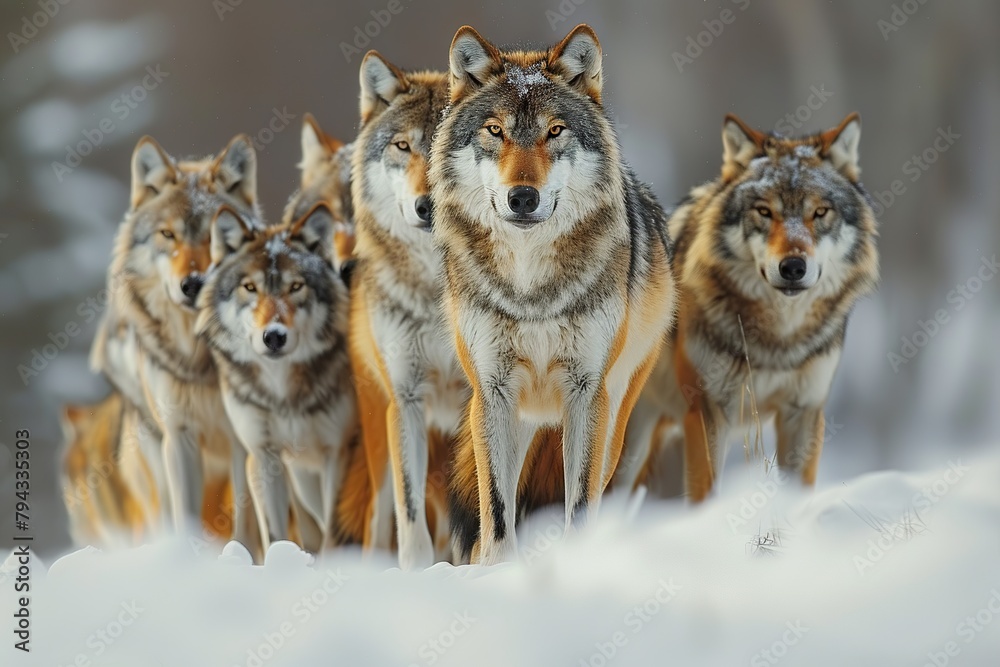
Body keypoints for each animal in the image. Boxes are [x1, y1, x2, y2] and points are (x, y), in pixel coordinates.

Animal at [89, 135, 261, 551]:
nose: (193, 284)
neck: (199, 359)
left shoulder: (242, 440)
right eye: (168, 235)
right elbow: (185, 517)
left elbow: (246, 523)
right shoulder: (179, 437)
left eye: (217, 235)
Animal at [197, 203, 356, 551]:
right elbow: (273, 532)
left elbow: (333, 533)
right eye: (250, 287)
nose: (273, 336)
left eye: (296, 287)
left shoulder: (338, 454)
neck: (283, 391)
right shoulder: (263, 455)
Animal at [431, 25, 677, 565]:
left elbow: (579, 498)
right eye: (496, 131)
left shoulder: (587, 393)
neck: (530, 288)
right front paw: (498, 569)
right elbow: (496, 505)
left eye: (556, 131)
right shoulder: (492, 391)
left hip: (614, 416)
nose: (523, 197)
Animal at [614, 113, 879, 501]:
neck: (778, 340)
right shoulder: (709, 412)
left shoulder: (803, 412)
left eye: (820, 212)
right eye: (764, 211)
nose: (793, 267)